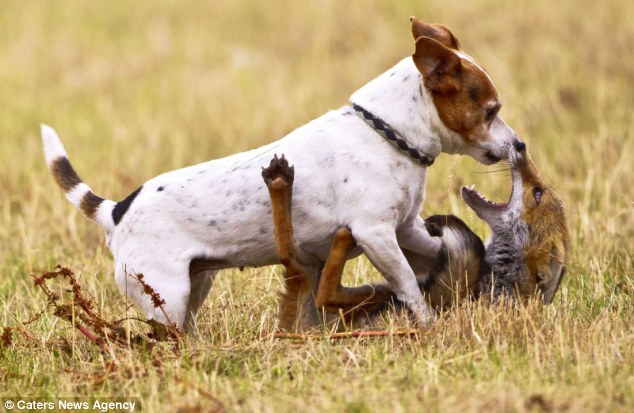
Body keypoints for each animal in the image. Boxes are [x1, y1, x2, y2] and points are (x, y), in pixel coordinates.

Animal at [42, 17, 520, 330]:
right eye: (491, 110)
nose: (521, 147)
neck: (388, 134)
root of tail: (116, 211)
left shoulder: (405, 228)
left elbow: (436, 251)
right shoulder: (376, 235)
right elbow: (406, 283)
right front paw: (427, 323)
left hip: (195, 285)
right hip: (167, 296)